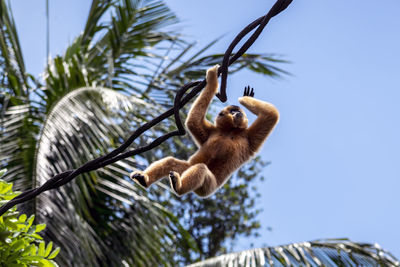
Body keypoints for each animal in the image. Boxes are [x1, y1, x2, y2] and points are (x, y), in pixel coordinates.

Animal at [130, 64, 280, 198]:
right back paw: (146, 179)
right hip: (188, 170)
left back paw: (178, 188)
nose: (238, 113)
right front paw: (213, 79)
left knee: (200, 168)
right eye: (232, 111)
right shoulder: (213, 132)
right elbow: (193, 121)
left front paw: (245, 97)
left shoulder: (248, 139)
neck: (230, 131)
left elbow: (271, 114)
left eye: (238, 111)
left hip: (207, 187)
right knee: (172, 162)